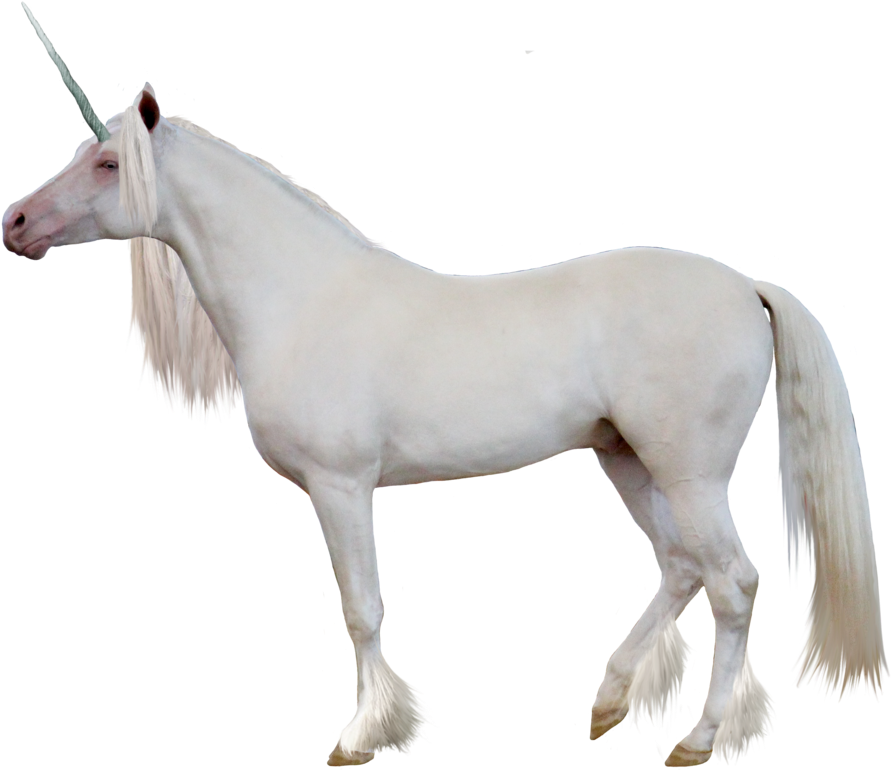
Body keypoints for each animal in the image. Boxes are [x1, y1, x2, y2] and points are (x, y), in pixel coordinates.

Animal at [5, 5, 886, 766]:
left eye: (108, 163)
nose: (14, 224)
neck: (301, 297)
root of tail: (746, 288)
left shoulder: (340, 487)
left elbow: (362, 612)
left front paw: (363, 737)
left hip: (688, 473)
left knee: (731, 583)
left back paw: (700, 741)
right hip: (626, 461)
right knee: (679, 568)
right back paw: (607, 703)